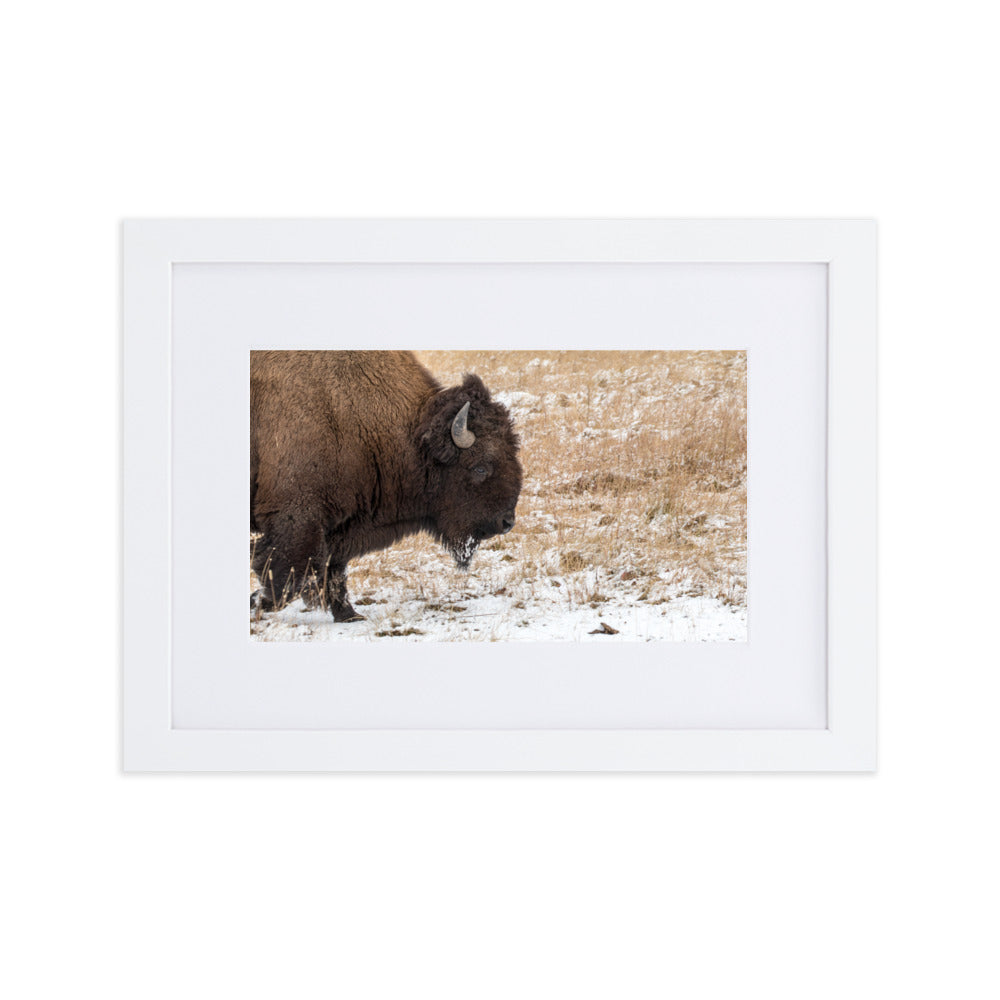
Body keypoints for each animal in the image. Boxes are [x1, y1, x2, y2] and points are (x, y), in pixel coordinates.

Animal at [250, 350, 522, 621]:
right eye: (480, 467)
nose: (506, 522)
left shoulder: (339, 527)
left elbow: (333, 568)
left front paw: (349, 615)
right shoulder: (298, 516)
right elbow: (287, 574)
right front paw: (257, 602)